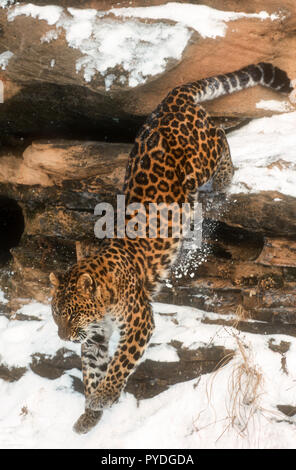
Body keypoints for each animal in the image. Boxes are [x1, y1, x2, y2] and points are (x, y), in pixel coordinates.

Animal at [49, 62, 292, 434]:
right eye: (55, 313)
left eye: (73, 313)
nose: (63, 337)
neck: (102, 303)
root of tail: (171, 99)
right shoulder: (94, 337)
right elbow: (92, 368)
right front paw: (90, 412)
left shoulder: (139, 322)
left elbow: (119, 364)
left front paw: (105, 395)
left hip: (199, 161)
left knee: (220, 136)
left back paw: (224, 176)